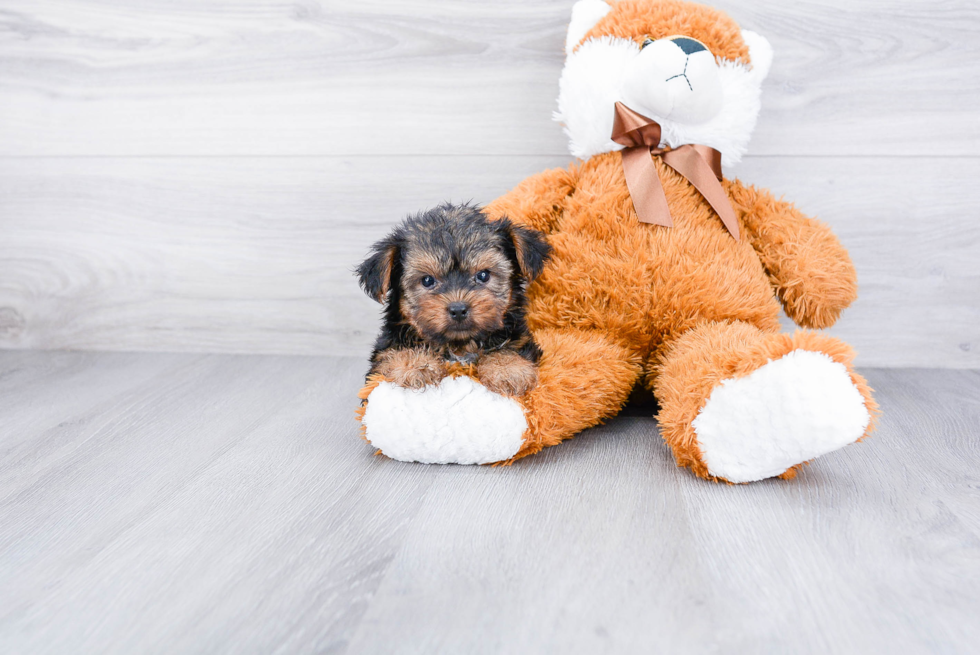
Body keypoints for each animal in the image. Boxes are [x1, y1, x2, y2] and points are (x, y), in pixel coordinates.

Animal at [354, 202, 552, 398]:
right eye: (427, 280)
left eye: (483, 275)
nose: (458, 309)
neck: (459, 346)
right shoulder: (385, 349)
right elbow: (393, 353)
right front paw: (415, 364)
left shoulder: (521, 337)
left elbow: (510, 347)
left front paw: (507, 369)